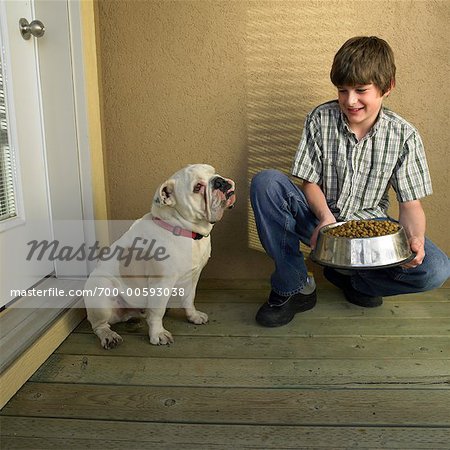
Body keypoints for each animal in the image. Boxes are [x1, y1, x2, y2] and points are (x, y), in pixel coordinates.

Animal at [84, 164, 236, 348]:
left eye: (212, 171)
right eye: (197, 187)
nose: (220, 181)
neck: (182, 230)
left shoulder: (193, 277)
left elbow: (189, 298)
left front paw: (193, 316)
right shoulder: (161, 283)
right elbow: (157, 311)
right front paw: (158, 334)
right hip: (101, 293)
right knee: (99, 325)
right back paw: (109, 336)